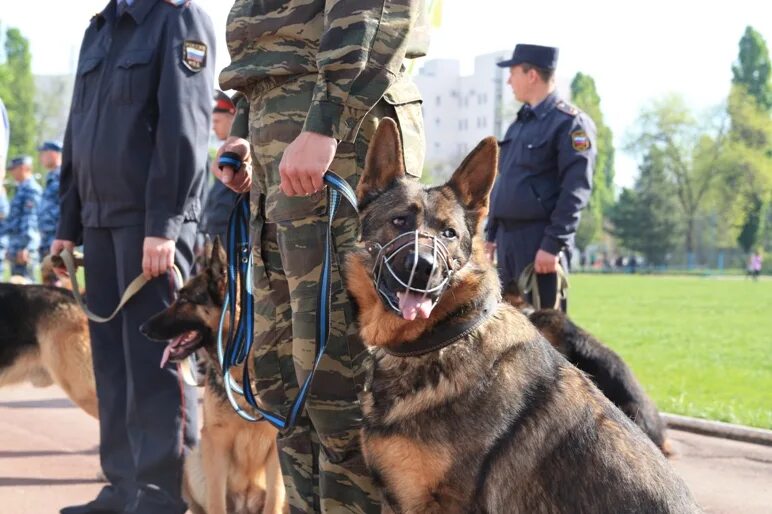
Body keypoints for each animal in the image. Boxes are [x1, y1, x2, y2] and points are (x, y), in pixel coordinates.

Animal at [140, 240, 284, 512]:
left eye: (184, 299)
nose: (142, 328)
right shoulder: (216, 442)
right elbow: (217, 502)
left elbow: (274, 501)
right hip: (195, 460)